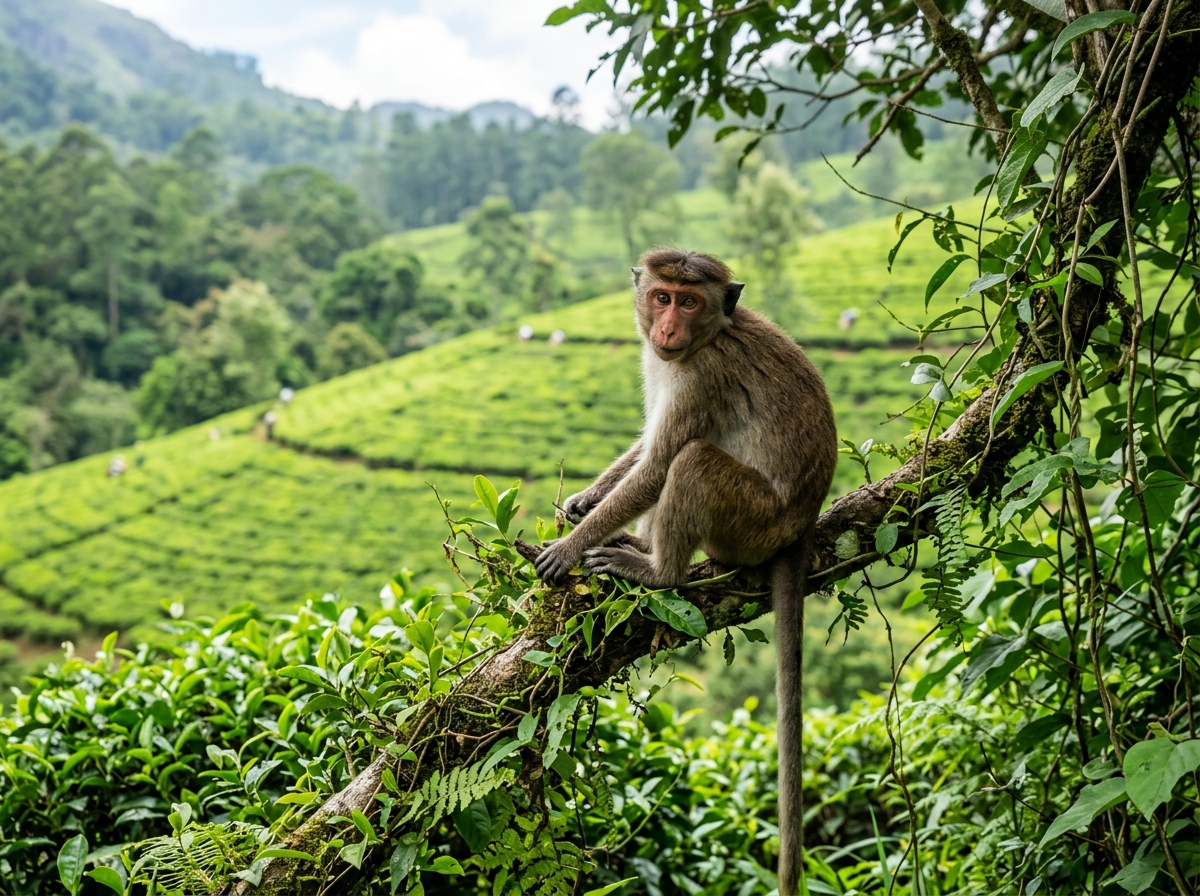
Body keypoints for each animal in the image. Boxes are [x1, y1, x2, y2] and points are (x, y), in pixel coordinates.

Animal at [534, 248, 837, 896]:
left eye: (691, 300)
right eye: (663, 297)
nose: (668, 328)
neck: (707, 339)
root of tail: (801, 523)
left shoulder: (704, 376)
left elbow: (657, 466)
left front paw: (570, 546)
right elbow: (646, 445)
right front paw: (587, 502)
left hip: (751, 521)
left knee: (693, 460)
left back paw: (657, 572)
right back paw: (634, 543)